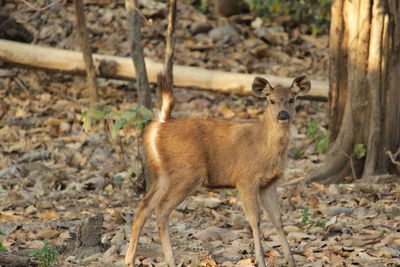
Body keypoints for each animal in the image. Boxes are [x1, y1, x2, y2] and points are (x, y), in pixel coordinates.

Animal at [123, 73, 310, 267]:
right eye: (271, 100)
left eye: (292, 99)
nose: (283, 114)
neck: (264, 146)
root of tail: (161, 124)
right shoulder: (246, 179)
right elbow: (255, 219)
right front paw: (260, 260)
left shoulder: (268, 184)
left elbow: (277, 219)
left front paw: (291, 260)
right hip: (187, 172)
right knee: (161, 209)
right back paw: (170, 260)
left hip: (163, 174)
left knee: (144, 206)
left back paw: (130, 260)